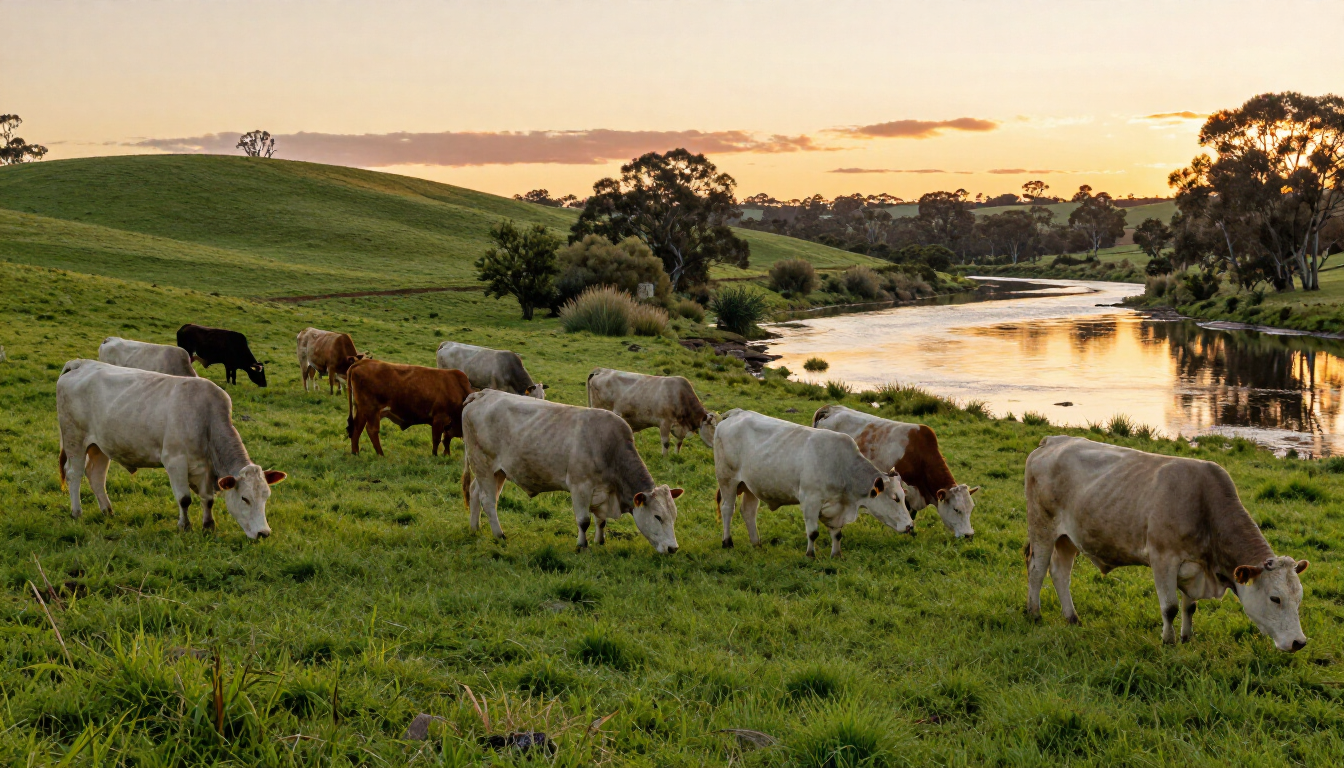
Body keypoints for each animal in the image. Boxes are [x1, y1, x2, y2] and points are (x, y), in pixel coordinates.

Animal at [56, 359, 284, 539]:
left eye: (266, 496)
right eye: (245, 498)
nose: (264, 533)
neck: (205, 418)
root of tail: (80, 363)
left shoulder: (204, 467)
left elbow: (207, 499)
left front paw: (208, 526)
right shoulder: (175, 461)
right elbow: (184, 499)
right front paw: (185, 526)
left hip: (100, 446)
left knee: (96, 476)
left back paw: (107, 511)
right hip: (74, 438)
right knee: (74, 473)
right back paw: (77, 512)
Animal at [460, 389, 681, 553]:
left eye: (674, 516)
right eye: (658, 517)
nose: (673, 548)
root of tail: (482, 393)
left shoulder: (601, 492)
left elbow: (601, 520)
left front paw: (600, 541)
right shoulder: (580, 486)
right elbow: (583, 521)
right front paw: (582, 545)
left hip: (496, 471)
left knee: (475, 492)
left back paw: (474, 529)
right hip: (484, 465)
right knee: (488, 500)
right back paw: (499, 535)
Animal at [586, 368, 720, 456]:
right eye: (712, 427)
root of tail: (601, 370)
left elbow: (679, 442)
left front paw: (676, 456)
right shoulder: (665, 422)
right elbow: (666, 442)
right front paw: (665, 459)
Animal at [713, 409, 911, 558]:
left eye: (904, 497)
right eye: (895, 498)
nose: (910, 526)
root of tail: (736, 413)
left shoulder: (836, 507)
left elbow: (837, 533)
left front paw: (836, 555)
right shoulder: (810, 500)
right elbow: (813, 532)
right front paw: (810, 554)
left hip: (750, 485)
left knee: (748, 511)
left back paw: (756, 543)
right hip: (727, 479)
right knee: (727, 509)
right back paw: (727, 542)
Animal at [1025, 436, 1310, 652]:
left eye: (1299, 598)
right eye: (1275, 598)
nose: (1299, 642)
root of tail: (1053, 440)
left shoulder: (1193, 566)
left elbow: (1189, 607)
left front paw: (1186, 637)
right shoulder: (1163, 558)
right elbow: (1170, 607)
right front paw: (1168, 641)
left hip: (1068, 538)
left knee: (1060, 573)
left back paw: (1072, 618)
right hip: (1042, 527)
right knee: (1037, 570)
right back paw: (1034, 614)